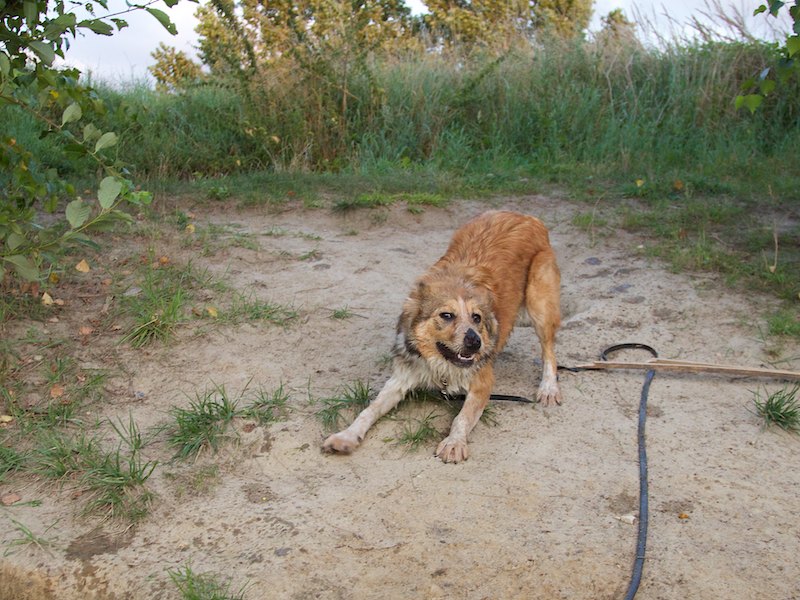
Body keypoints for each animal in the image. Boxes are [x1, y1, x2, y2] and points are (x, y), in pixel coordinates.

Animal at [322, 210, 562, 463]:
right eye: (446, 315)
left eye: (476, 317)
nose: (476, 343)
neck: (442, 365)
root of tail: (525, 216)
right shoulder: (402, 376)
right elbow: (370, 409)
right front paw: (347, 435)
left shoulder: (482, 381)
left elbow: (462, 417)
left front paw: (454, 442)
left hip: (538, 305)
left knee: (549, 349)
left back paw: (548, 387)